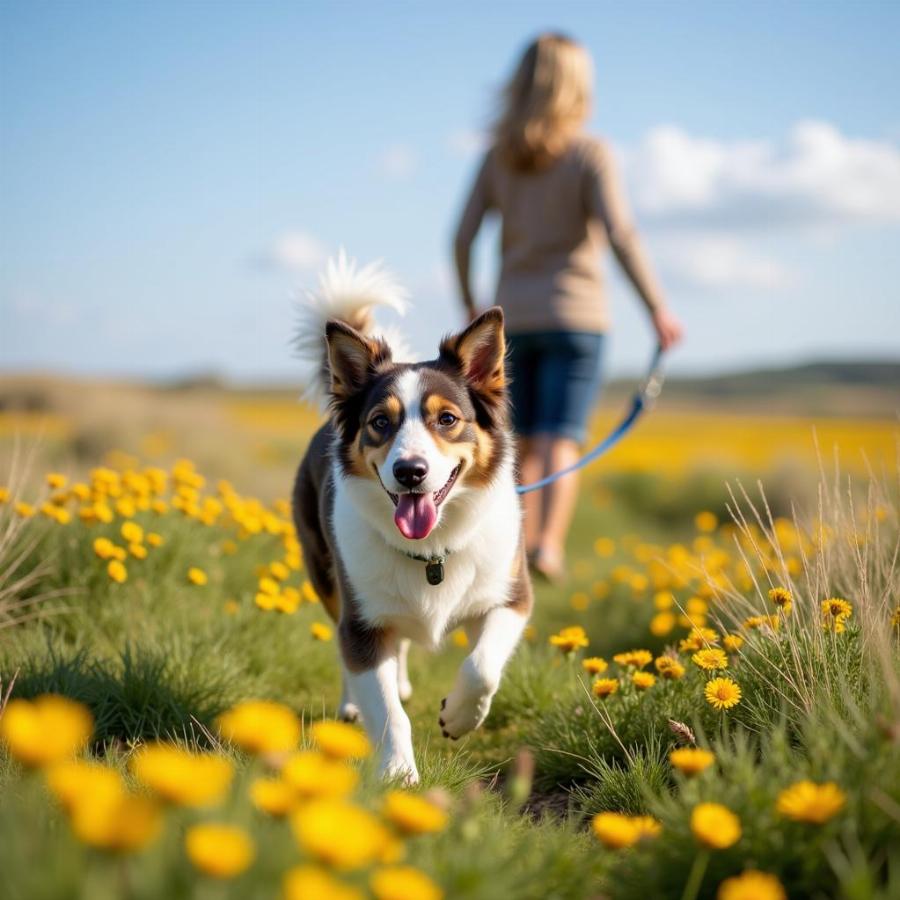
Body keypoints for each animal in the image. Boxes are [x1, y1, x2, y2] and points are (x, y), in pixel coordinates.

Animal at [292, 256, 532, 784]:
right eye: (381, 422)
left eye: (447, 420)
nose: (410, 472)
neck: (432, 551)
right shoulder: (361, 622)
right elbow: (386, 710)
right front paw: (399, 775)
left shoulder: (511, 596)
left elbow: (482, 667)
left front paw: (458, 717)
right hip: (327, 575)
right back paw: (353, 705)